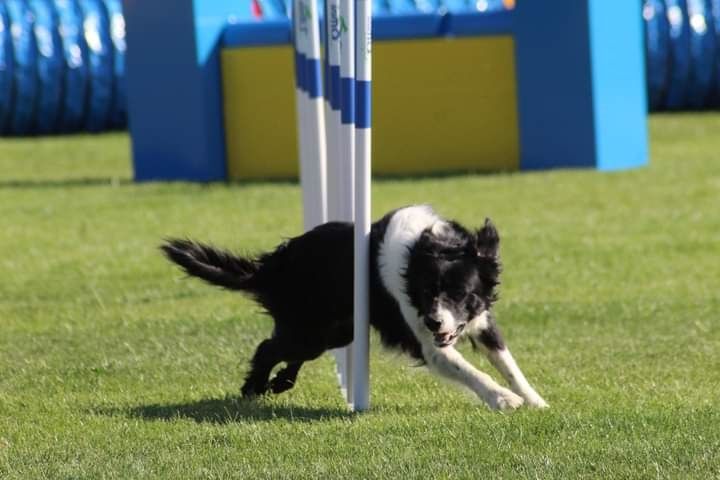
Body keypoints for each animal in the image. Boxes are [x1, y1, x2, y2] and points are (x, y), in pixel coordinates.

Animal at [162, 204, 544, 410]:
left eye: (462, 293)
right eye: (425, 292)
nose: (435, 322)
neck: (426, 249)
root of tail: (275, 264)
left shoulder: (481, 323)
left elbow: (509, 365)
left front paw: (535, 400)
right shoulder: (428, 342)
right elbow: (471, 371)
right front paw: (502, 399)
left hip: (336, 332)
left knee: (286, 352)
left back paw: (280, 382)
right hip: (310, 331)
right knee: (267, 348)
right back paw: (253, 388)